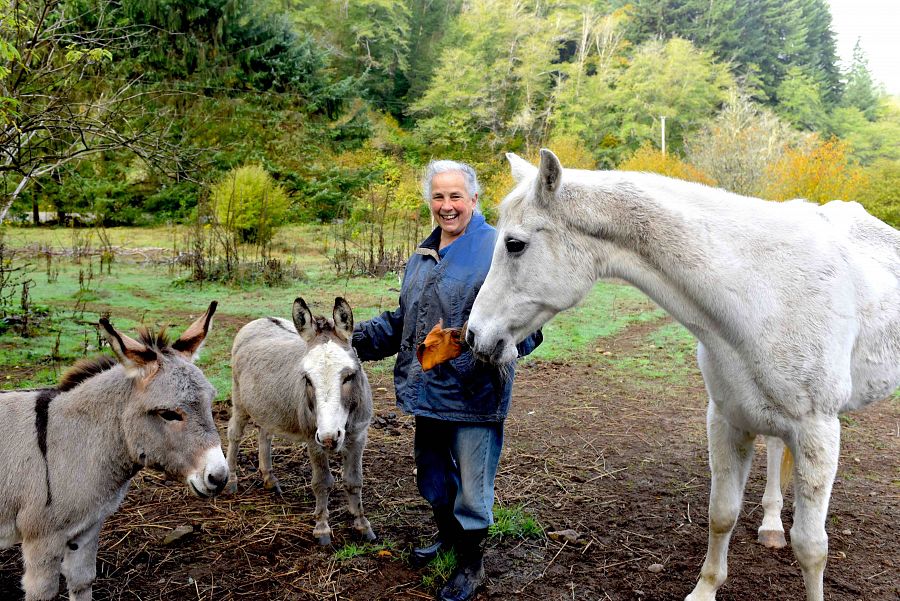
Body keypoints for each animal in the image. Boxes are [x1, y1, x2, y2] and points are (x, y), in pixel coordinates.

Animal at [464, 150, 900, 600]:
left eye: (515, 244)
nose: (475, 336)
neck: (765, 292)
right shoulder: (727, 420)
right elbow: (722, 514)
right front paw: (704, 589)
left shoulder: (816, 431)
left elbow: (811, 547)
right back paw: (771, 525)